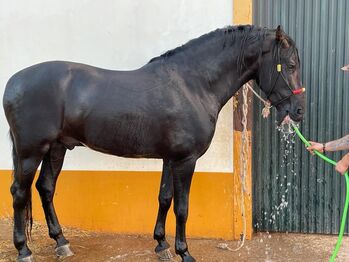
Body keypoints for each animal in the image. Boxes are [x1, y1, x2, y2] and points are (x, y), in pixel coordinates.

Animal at [2, 24, 304, 260]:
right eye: (290, 66)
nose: (299, 110)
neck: (193, 85)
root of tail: (13, 82)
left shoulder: (170, 158)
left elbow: (165, 198)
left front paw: (162, 245)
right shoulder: (185, 160)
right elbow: (182, 207)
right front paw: (184, 252)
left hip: (56, 148)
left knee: (45, 188)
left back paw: (61, 243)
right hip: (31, 152)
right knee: (19, 193)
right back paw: (23, 250)